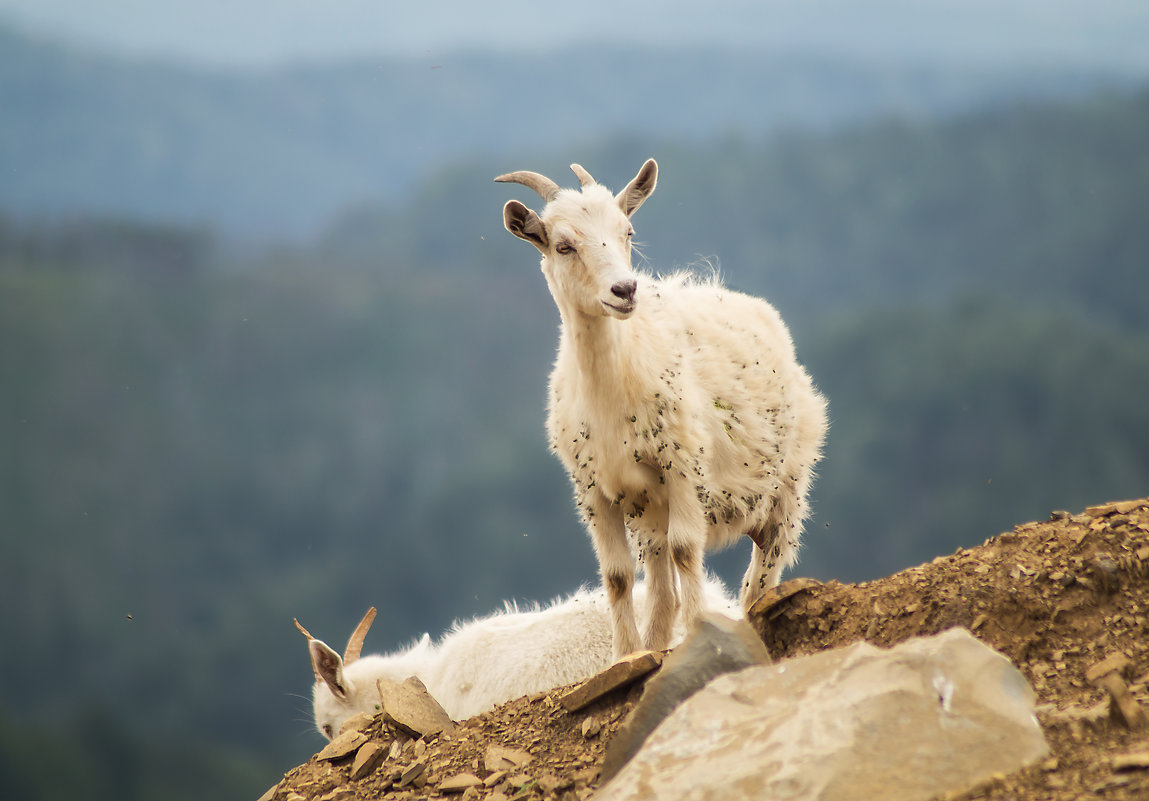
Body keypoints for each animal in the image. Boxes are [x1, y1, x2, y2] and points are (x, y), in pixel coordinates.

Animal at [494, 157, 827, 657]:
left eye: (628, 231)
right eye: (563, 245)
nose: (625, 290)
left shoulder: (684, 464)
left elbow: (687, 548)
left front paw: (698, 631)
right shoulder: (592, 489)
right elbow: (616, 576)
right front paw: (627, 654)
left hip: (788, 483)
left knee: (764, 564)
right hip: (648, 509)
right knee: (660, 575)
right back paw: (655, 640)